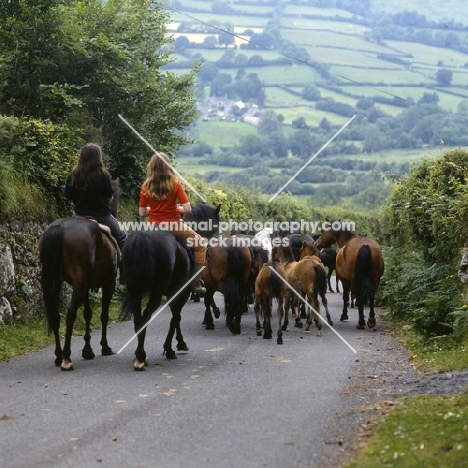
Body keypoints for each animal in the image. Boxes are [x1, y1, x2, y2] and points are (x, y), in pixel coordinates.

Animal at [39, 218, 119, 372]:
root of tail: (60, 227)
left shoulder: (86, 286)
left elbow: (87, 313)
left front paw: (87, 350)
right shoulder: (109, 283)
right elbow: (104, 316)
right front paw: (105, 347)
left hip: (56, 281)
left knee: (54, 316)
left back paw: (59, 356)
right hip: (79, 283)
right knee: (70, 315)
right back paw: (66, 358)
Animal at [118, 204, 218, 370]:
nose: (212, 249)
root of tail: (144, 237)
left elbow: (175, 317)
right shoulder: (180, 292)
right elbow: (176, 317)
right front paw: (173, 347)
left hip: (137, 291)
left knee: (138, 320)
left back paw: (139, 356)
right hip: (156, 292)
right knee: (146, 317)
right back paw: (141, 356)